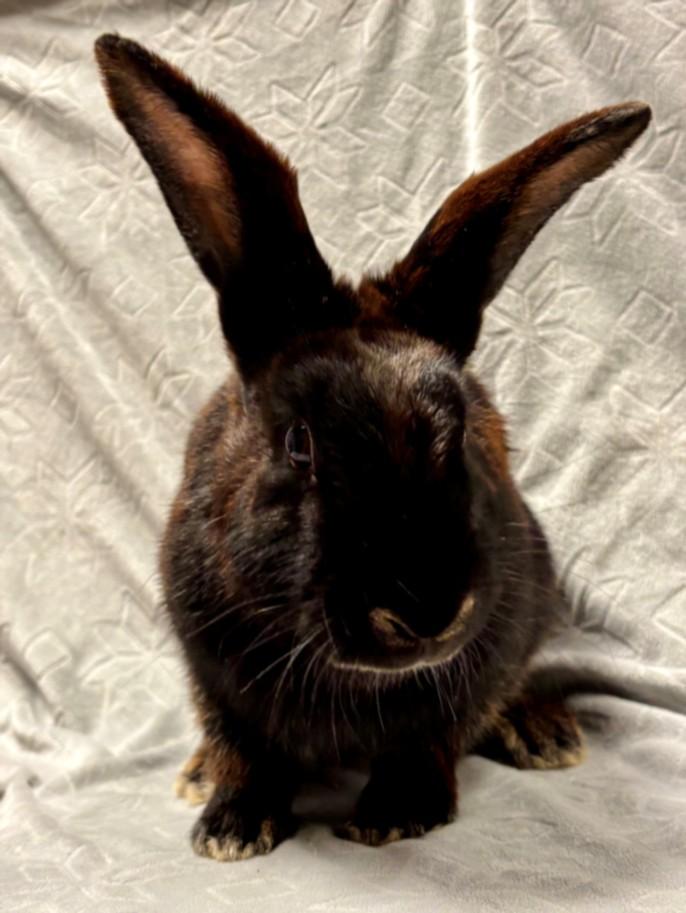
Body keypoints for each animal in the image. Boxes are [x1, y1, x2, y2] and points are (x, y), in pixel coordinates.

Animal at [95, 33, 651, 861]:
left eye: (467, 437)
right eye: (300, 445)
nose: (428, 610)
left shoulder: (472, 663)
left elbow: (427, 734)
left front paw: (395, 814)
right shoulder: (211, 669)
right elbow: (241, 744)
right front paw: (231, 826)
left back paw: (545, 732)